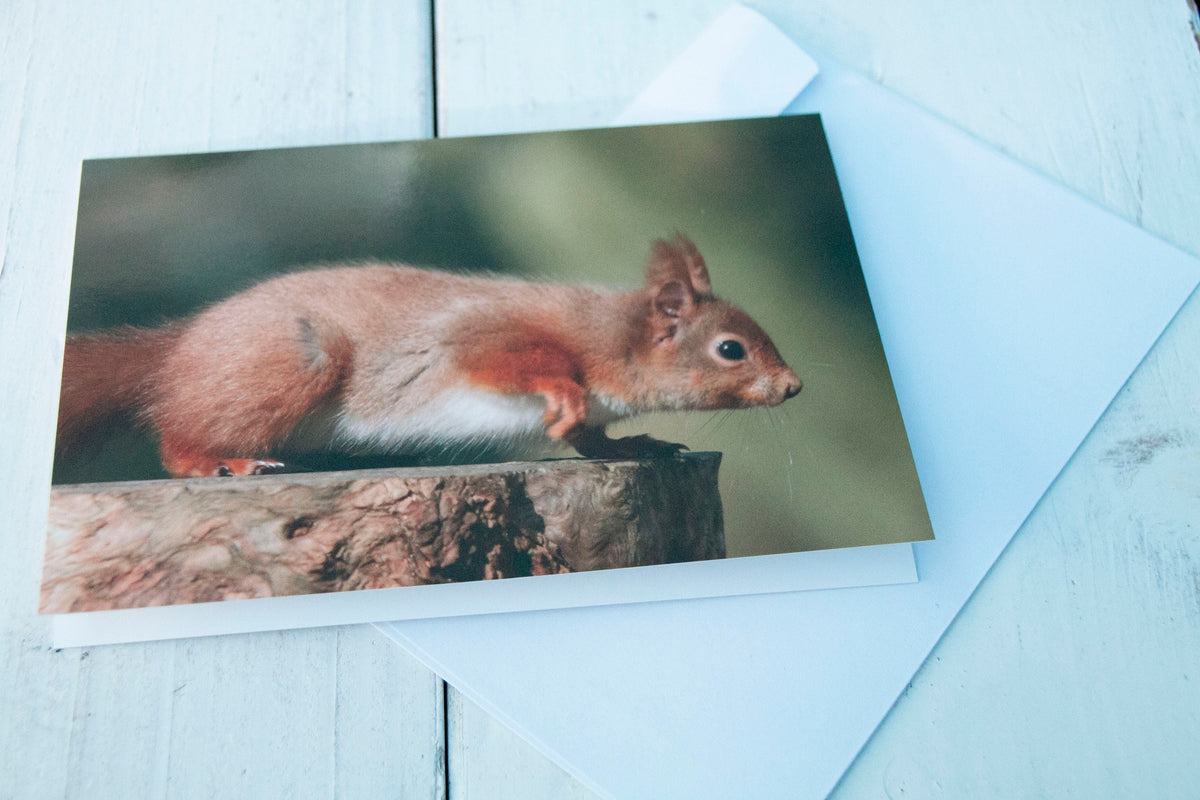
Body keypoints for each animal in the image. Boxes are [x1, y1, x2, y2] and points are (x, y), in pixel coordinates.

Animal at [56, 234, 802, 478]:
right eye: (730, 349)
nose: (794, 387)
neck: (608, 335)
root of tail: (180, 344)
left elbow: (592, 439)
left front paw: (638, 444)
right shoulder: (484, 338)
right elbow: (506, 362)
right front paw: (564, 393)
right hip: (295, 361)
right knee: (175, 437)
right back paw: (216, 461)